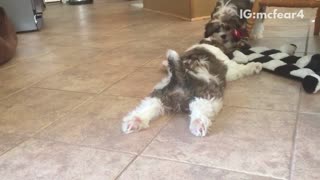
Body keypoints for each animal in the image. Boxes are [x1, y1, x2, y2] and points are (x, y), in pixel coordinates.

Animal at [121, 37, 262, 136]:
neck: (207, 43)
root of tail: (178, 78)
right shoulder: (230, 68)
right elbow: (241, 68)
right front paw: (255, 65)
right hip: (206, 97)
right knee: (199, 110)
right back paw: (198, 124)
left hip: (159, 96)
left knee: (147, 107)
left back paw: (134, 121)